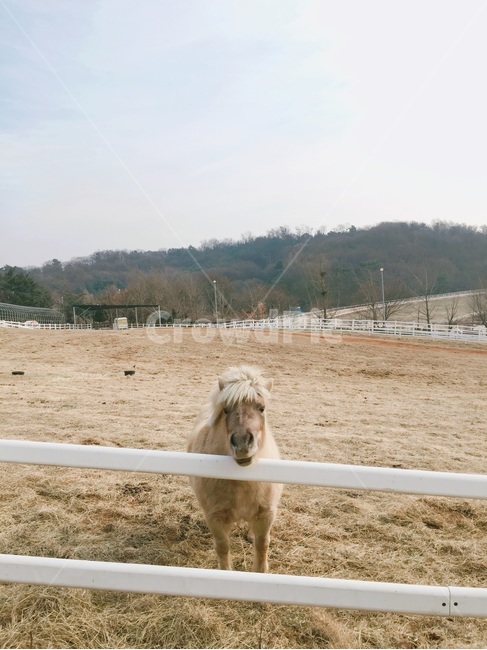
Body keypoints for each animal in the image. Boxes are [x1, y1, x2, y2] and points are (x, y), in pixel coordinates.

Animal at [187, 365, 282, 573]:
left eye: (262, 408)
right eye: (226, 409)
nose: (242, 443)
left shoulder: (266, 514)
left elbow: (262, 545)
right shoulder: (215, 518)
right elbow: (222, 546)